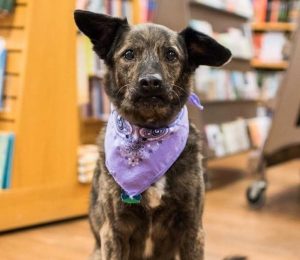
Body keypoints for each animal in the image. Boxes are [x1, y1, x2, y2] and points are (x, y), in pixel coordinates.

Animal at [74, 10, 231, 260]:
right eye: (129, 54)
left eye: (171, 54)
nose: (150, 82)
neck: (149, 130)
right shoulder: (113, 231)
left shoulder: (192, 228)